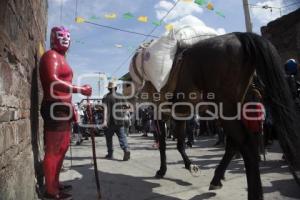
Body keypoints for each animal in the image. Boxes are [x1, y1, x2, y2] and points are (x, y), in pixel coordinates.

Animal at [130, 32, 300, 199]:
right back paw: (217, 179)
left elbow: (163, 144)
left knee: (246, 144)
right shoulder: (180, 113)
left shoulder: (160, 112)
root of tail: (240, 36)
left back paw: (253, 193)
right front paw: (190, 165)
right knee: (233, 143)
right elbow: (179, 143)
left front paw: (162, 170)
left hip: (224, 109)